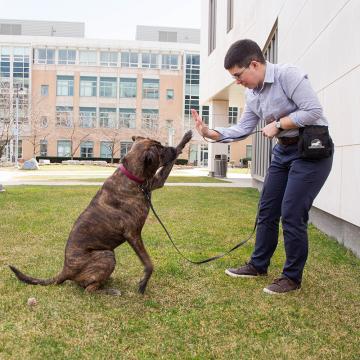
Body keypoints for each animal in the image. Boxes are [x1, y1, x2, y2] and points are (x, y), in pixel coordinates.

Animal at [9, 131, 193, 294]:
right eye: (160, 149)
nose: (170, 148)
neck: (132, 176)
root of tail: (66, 270)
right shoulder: (133, 234)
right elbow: (148, 263)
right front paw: (143, 283)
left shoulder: (156, 182)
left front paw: (185, 138)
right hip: (107, 254)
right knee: (88, 290)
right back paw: (109, 291)